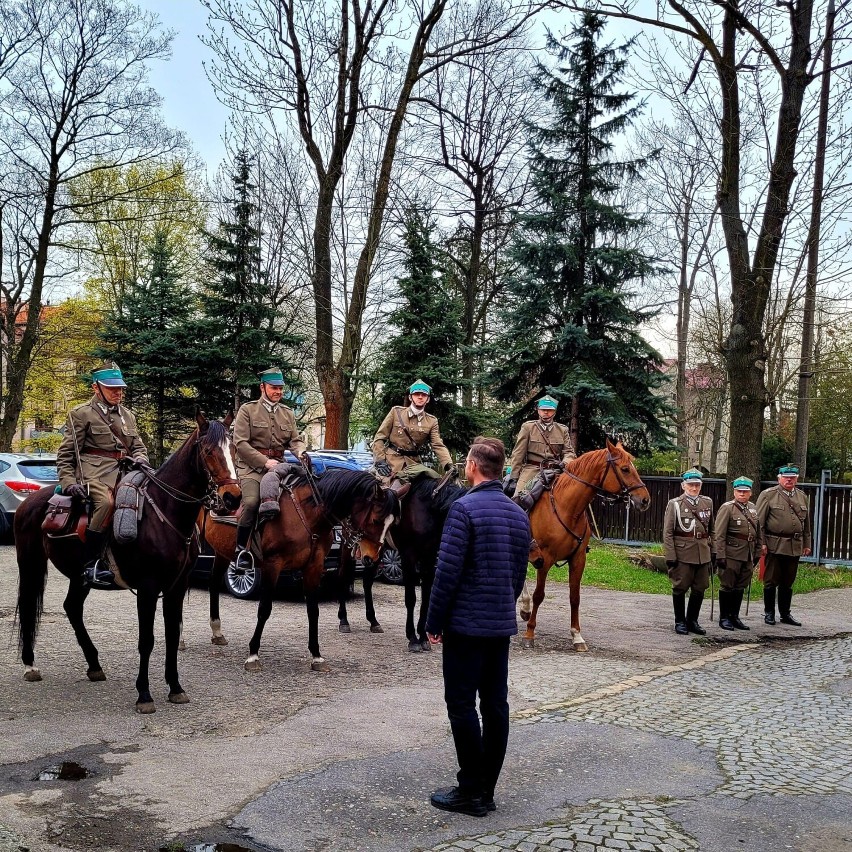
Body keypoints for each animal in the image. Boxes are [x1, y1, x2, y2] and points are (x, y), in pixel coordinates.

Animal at [14, 412, 240, 712]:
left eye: (234, 449)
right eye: (208, 451)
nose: (232, 498)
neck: (165, 511)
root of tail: (31, 500)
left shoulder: (176, 586)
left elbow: (171, 635)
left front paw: (175, 687)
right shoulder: (147, 587)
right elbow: (147, 640)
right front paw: (144, 694)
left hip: (78, 575)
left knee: (72, 608)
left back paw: (94, 664)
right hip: (30, 564)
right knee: (30, 606)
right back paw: (30, 665)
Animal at [201, 466, 400, 672]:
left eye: (392, 524)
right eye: (376, 520)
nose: (372, 557)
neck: (305, 514)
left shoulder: (314, 566)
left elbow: (313, 610)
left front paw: (316, 656)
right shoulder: (273, 565)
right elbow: (264, 608)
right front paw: (253, 654)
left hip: (222, 553)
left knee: (213, 583)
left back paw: (217, 632)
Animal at [520, 440, 652, 652]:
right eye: (625, 469)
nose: (645, 500)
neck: (567, 508)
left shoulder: (578, 559)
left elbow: (575, 597)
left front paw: (577, 635)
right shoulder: (545, 559)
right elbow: (539, 595)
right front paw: (529, 633)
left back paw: (524, 608)